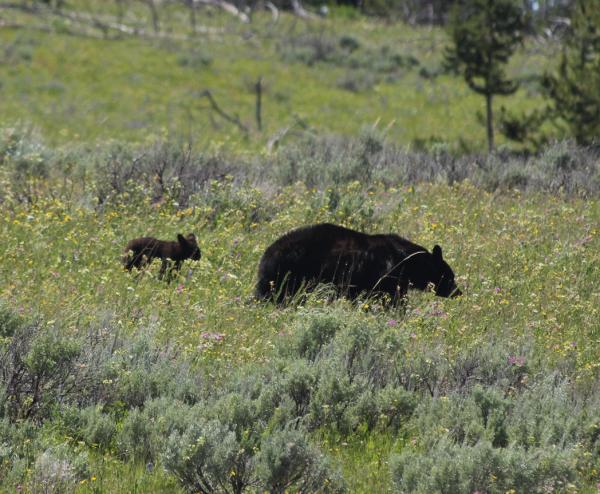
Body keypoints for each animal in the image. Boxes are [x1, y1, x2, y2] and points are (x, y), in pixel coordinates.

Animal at [255, 223, 462, 302]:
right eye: (450, 277)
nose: (458, 293)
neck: (408, 262)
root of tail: (266, 255)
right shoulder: (387, 277)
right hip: (288, 274)